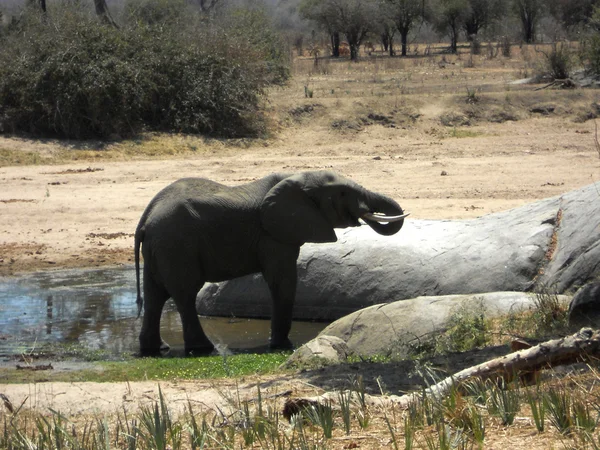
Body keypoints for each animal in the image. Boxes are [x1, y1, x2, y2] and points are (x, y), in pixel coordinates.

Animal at [135, 169, 408, 356]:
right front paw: (283, 345)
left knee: (155, 295)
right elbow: (282, 280)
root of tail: (145, 219)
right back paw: (203, 349)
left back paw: (157, 350)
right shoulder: (273, 235)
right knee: (184, 294)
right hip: (177, 245)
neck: (296, 178)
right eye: (342, 193)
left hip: (161, 248)